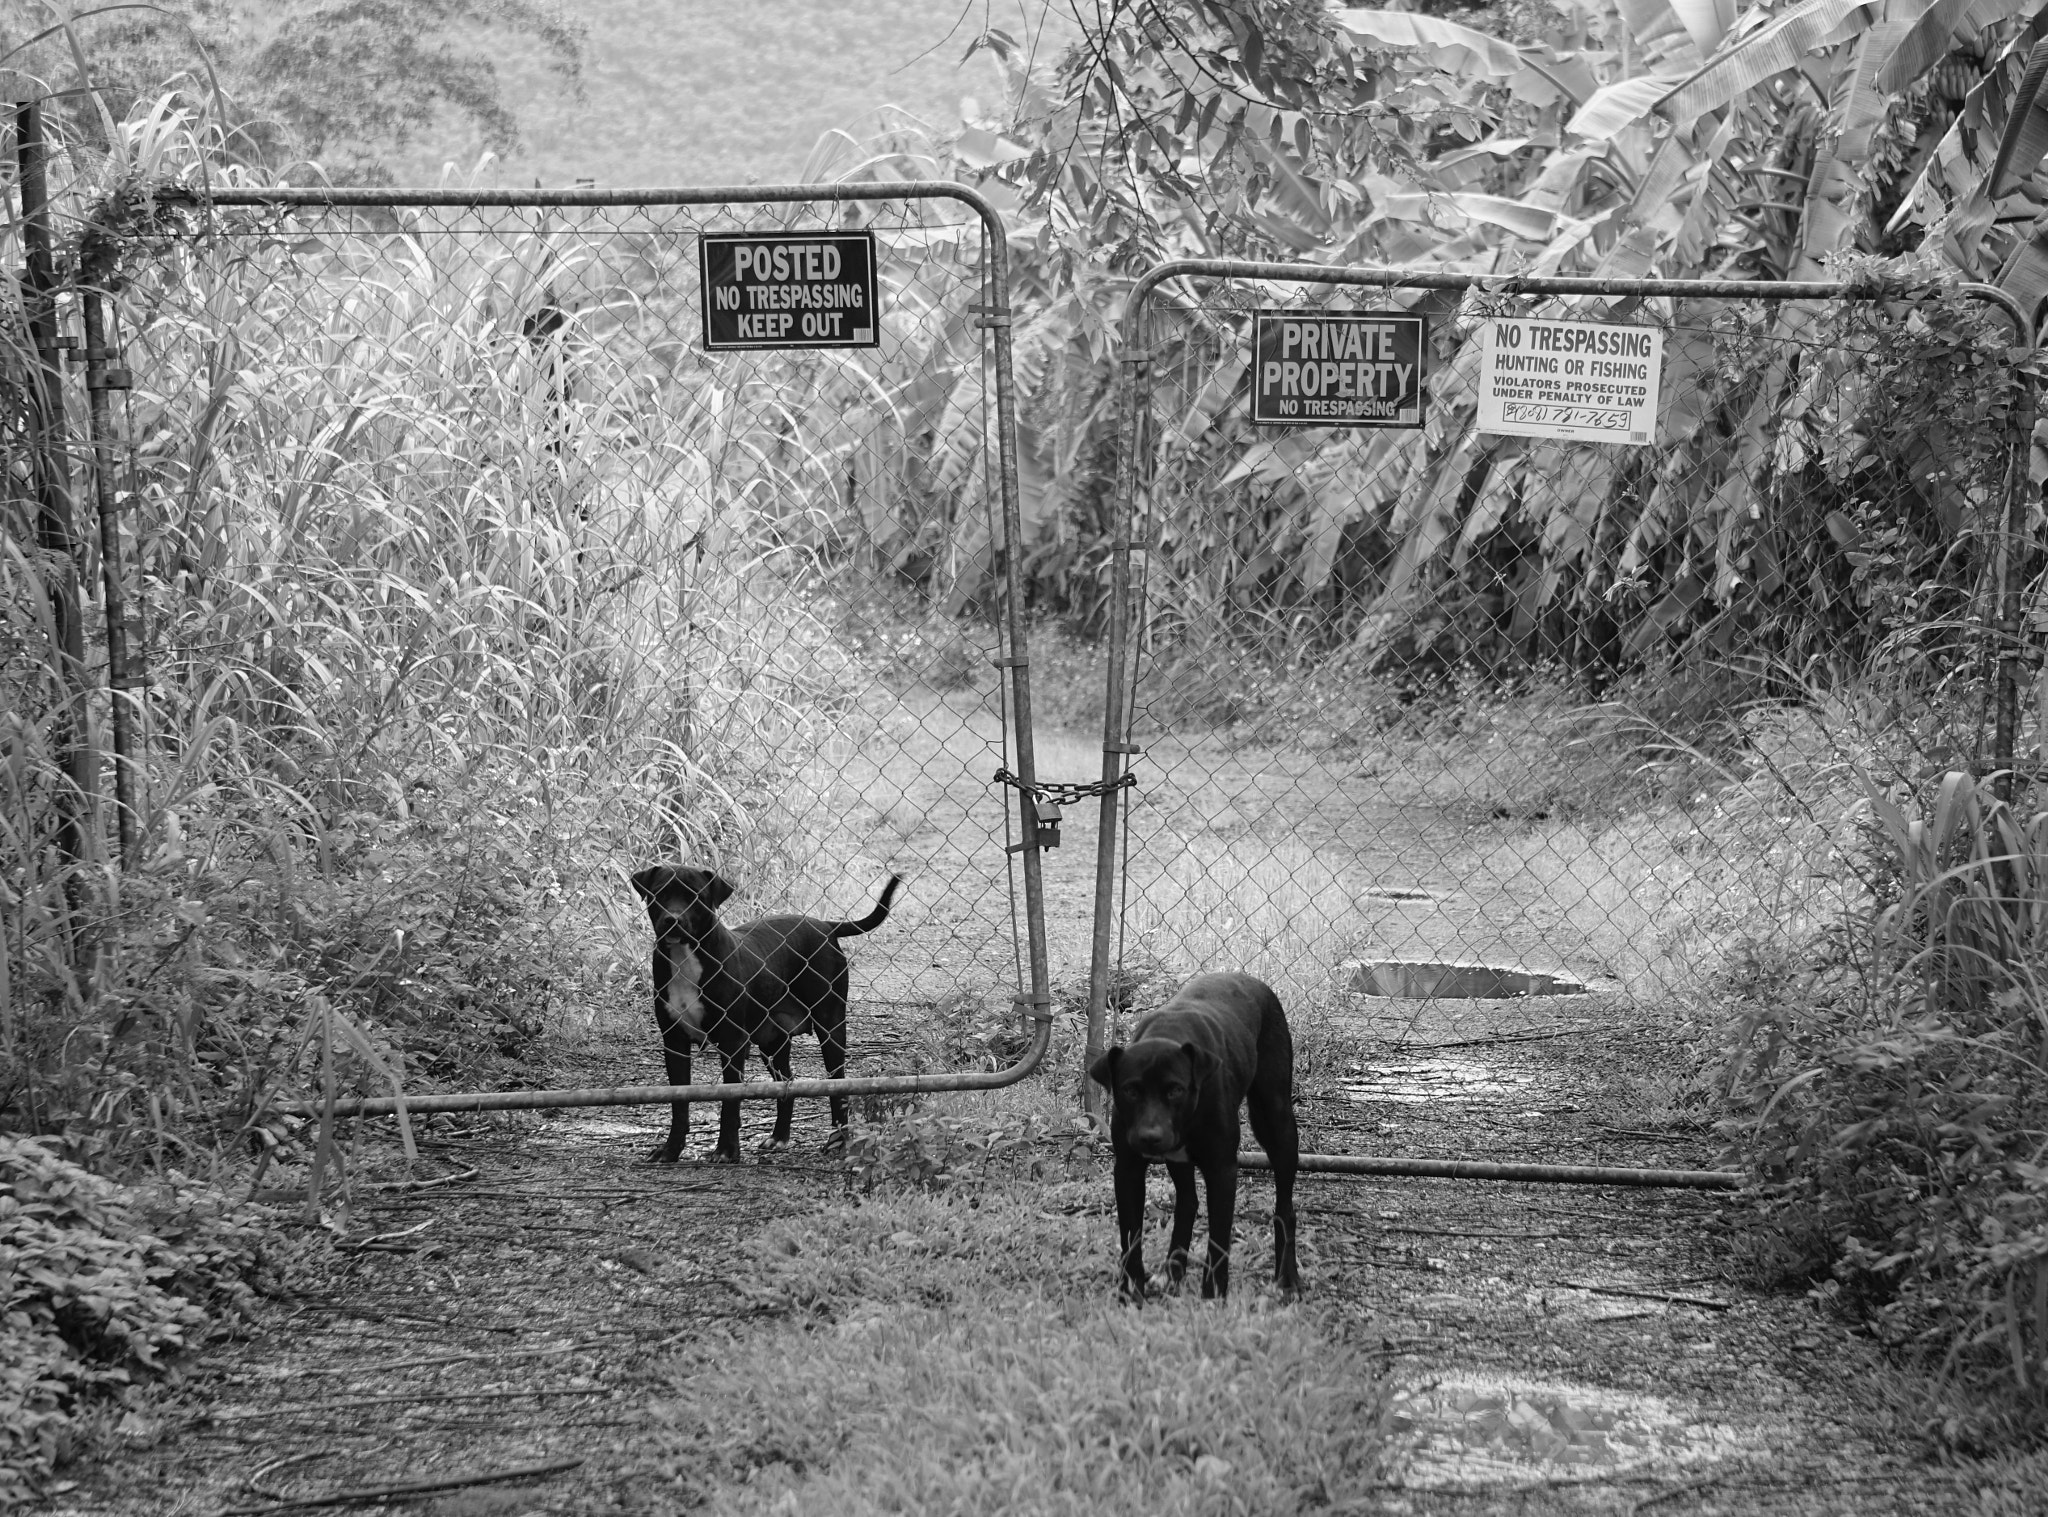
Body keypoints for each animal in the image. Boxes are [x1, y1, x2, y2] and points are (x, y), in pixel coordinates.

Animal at [626, 863, 901, 1162]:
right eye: (659, 893)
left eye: (696, 896)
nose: (672, 919)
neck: (686, 958)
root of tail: (825, 926)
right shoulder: (674, 1042)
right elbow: (679, 1101)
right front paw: (671, 1149)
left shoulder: (732, 1042)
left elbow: (730, 1099)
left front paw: (726, 1150)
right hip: (773, 1042)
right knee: (787, 1082)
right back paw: (779, 1137)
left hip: (830, 1025)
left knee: (837, 1085)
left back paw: (838, 1142)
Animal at [1089, 970, 1294, 1302]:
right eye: (1130, 1090)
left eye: (1176, 1090)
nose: (1150, 1137)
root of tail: (1250, 979)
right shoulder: (1128, 1168)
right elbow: (1130, 1237)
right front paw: (1130, 1291)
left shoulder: (1222, 1169)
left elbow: (1218, 1240)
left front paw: (1213, 1297)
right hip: (1179, 1158)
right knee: (1188, 1202)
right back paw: (1171, 1273)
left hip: (1276, 1120)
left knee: (1285, 1209)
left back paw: (1287, 1279)